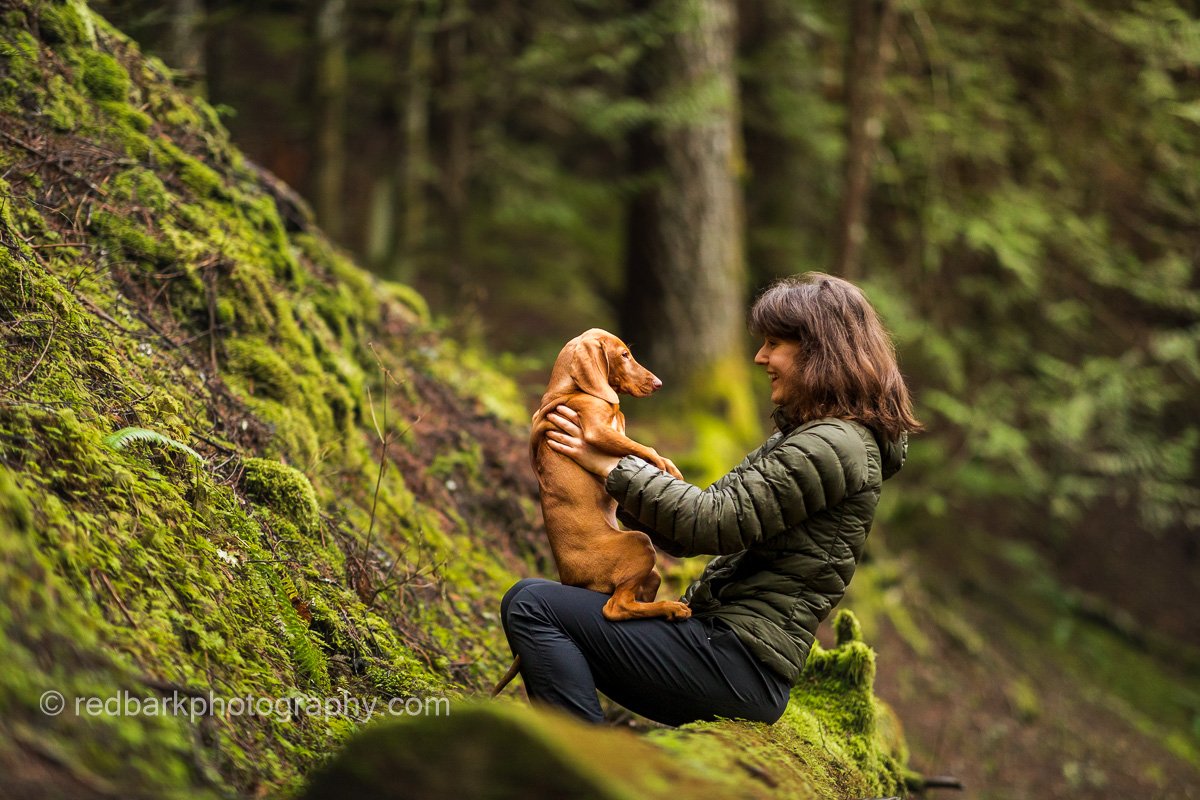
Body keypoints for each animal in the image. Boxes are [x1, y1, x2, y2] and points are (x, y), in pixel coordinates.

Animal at [489, 328, 696, 695]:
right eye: (624, 355)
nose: (658, 383)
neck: (569, 390)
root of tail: (572, 581)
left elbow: (642, 448)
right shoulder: (598, 430)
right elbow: (647, 448)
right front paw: (669, 469)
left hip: (650, 572)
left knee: (633, 601)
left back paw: (664, 609)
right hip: (640, 544)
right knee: (615, 609)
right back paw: (671, 608)